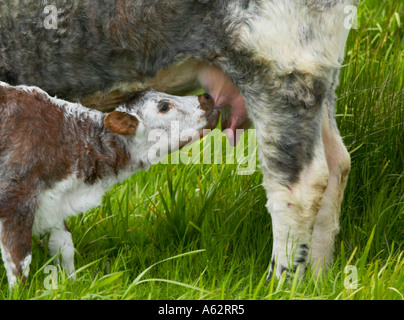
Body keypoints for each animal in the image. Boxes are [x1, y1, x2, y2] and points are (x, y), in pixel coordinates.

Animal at [0, 82, 219, 288]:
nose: (207, 97)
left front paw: (72, 282)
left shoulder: (52, 201)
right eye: (164, 106)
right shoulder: (15, 197)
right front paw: (20, 292)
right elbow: (19, 260)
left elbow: (65, 246)